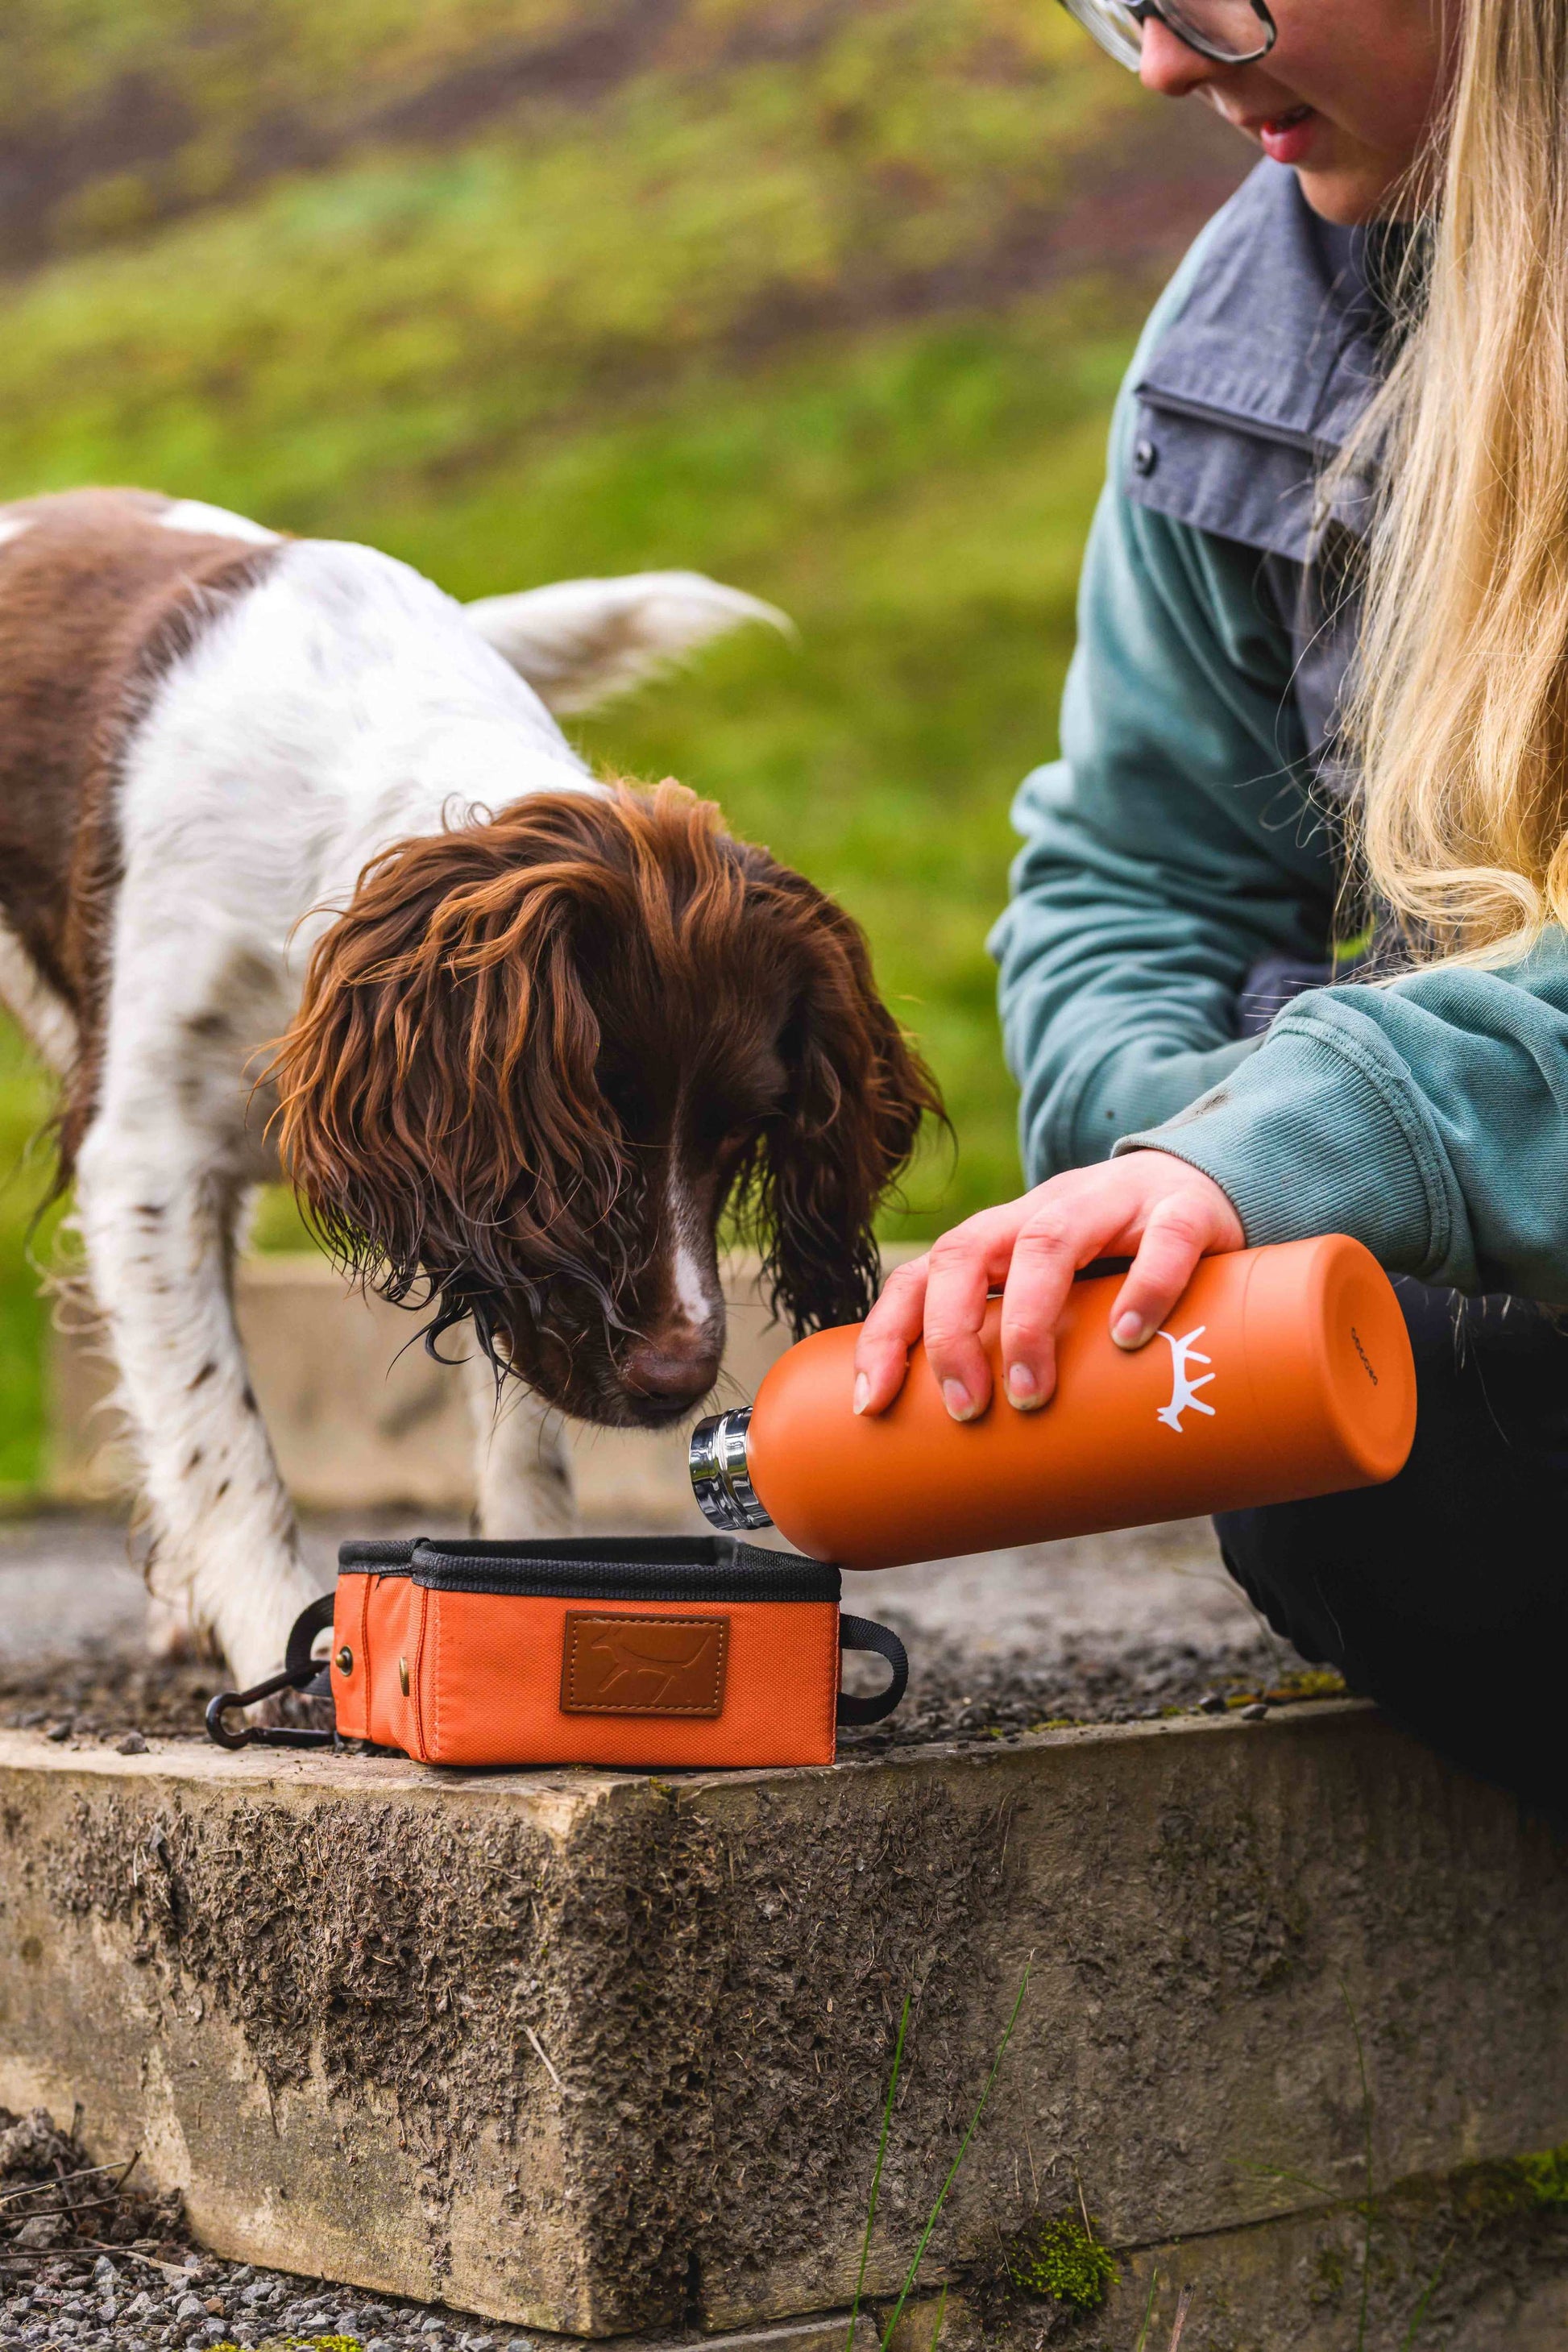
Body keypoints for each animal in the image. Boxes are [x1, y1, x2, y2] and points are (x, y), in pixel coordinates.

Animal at [0, 487, 940, 1684]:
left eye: (741, 1135)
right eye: (591, 1134)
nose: (679, 1380)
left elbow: (520, 1417)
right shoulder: (147, 1156)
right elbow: (219, 1428)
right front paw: (278, 1634)